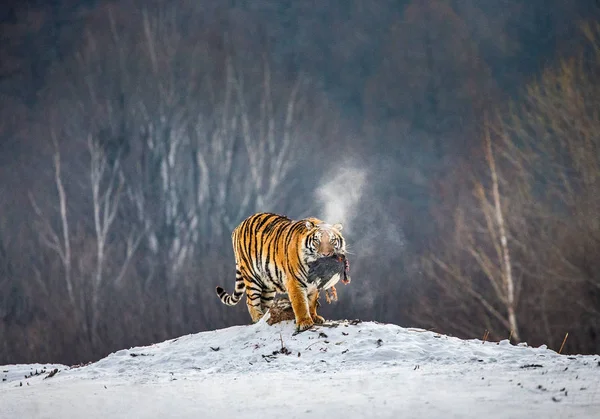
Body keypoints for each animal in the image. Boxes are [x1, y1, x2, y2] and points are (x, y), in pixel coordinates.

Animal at [216, 213, 346, 332]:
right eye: (317, 240)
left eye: (332, 240)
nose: (326, 254)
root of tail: (238, 226)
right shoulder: (294, 282)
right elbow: (300, 303)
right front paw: (305, 323)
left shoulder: (314, 285)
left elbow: (311, 302)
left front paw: (314, 317)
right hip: (251, 276)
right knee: (251, 301)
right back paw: (258, 318)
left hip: (267, 285)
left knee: (264, 303)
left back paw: (266, 318)